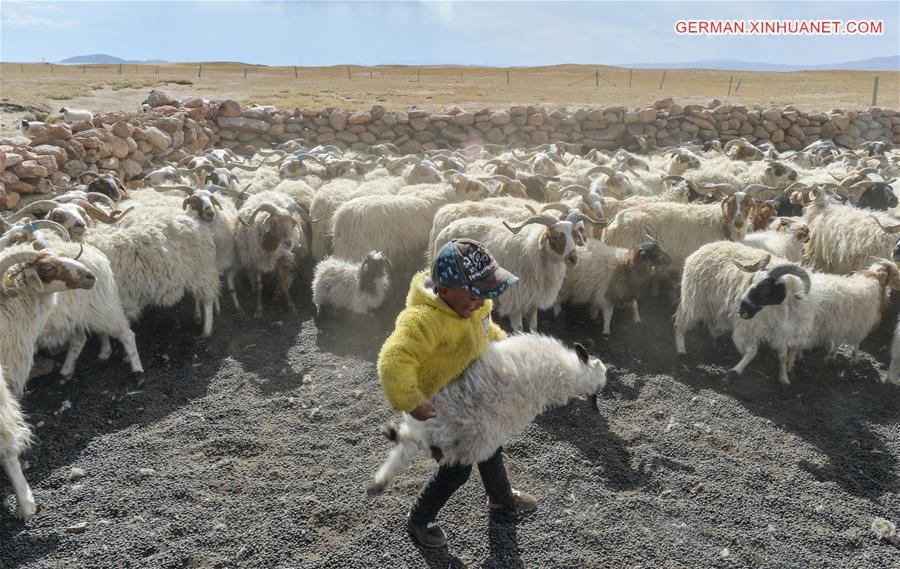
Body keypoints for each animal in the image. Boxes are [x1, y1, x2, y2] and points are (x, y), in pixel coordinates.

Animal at [366, 332, 604, 492]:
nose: (595, 404)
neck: (567, 374)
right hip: (440, 422)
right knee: (411, 444)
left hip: (455, 435)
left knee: (412, 447)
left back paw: (379, 478)